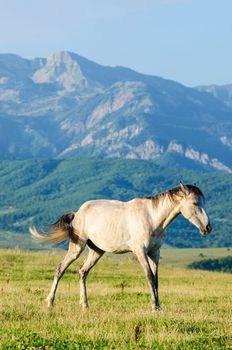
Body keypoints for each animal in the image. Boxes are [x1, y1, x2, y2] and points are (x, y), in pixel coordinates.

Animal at [30, 182, 212, 310]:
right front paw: (154, 307)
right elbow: (149, 276)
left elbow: (156, 279)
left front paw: (159, 306)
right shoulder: (140, 251)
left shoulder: (155, 253)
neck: (152, 218)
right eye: (195, 203)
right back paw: (50, 302)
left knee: (82, 272)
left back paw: (85, 305)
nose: (208, 228)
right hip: (77, 247)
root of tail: (77, 213)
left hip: (97, 251)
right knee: (60, 269)